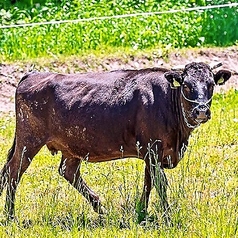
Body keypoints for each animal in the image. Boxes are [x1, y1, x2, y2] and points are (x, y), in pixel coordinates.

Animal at [0, 61, 231, 223]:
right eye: (187, 85)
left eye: (211, 85)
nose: (201, 111)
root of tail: (33, 74)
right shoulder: (153, 149)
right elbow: (160, 183)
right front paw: (167, 216)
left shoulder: (150, 153)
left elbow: (148, 182)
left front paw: (142, 212)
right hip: (29, 140)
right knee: (13, 172)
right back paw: (10, 216)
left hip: (71, 146)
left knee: (68, 171)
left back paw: (101, 208)